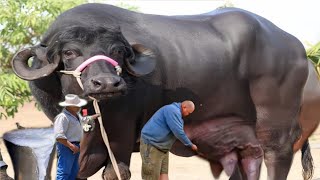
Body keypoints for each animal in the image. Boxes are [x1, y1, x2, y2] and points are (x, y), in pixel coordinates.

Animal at [10, 3, 316, 180]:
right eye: (70, 52)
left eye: (117, 51)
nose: (107, 84)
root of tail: (296, 49)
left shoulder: (120, 133)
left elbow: (116, 172)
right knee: (246, 161)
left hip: (277, 127)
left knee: (276, 156)